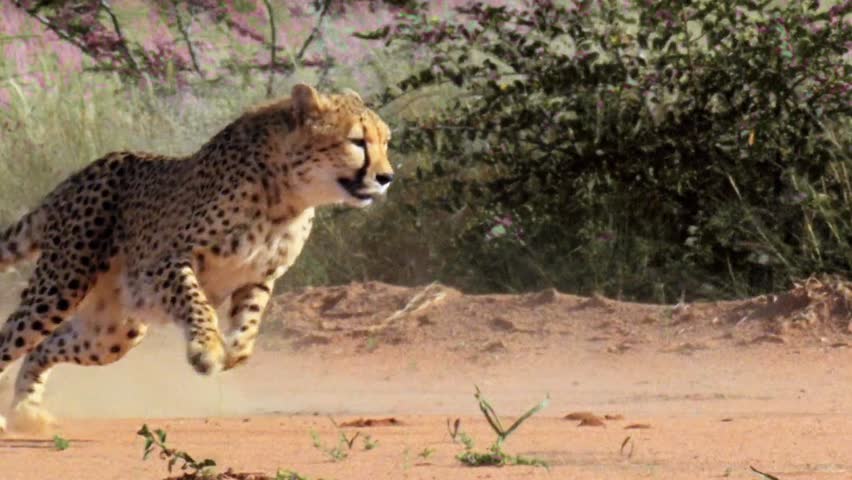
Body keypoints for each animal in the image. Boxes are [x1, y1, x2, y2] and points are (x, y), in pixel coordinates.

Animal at [0, 84, 393, 433]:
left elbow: (248, 331)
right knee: (12, 336)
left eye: (386, 141)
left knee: (42, 347)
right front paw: (206, 348)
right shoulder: (166, 264)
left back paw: (26, 410)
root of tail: (83, 172)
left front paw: (231, 350)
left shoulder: (258, 277)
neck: (286, 196)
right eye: (357, 141)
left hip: (111, 333)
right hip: (61, 286)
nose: (386, 176)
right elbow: (196, 303)